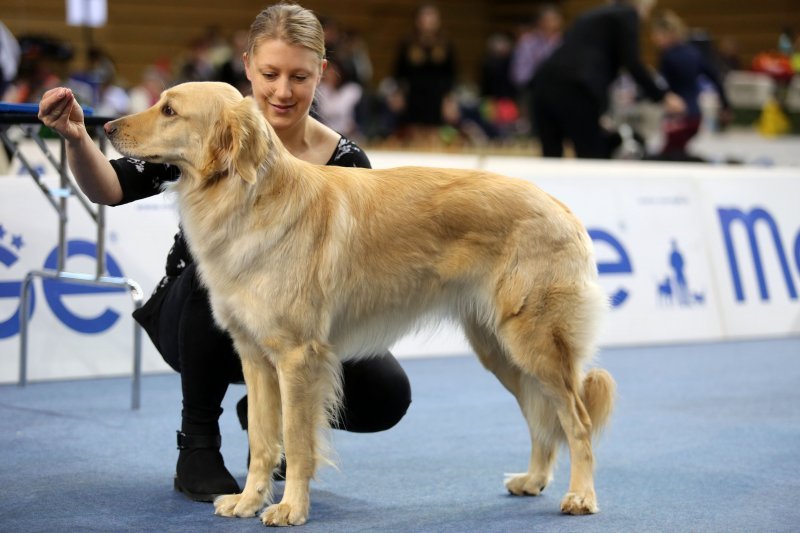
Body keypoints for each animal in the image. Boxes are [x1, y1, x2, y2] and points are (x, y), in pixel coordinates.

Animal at [104, 81, 620, 524]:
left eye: (169, 110)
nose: (105, 127)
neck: (249, 197)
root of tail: (560, 207)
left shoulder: (297, 358)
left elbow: (296, 441)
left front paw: (291, 509)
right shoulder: (255, 356)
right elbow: (265, 440)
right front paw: (250, 501)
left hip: (533, 343)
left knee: (576, 421)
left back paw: (581, 495)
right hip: (501, 351)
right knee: (541, 417)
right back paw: (534, 479)